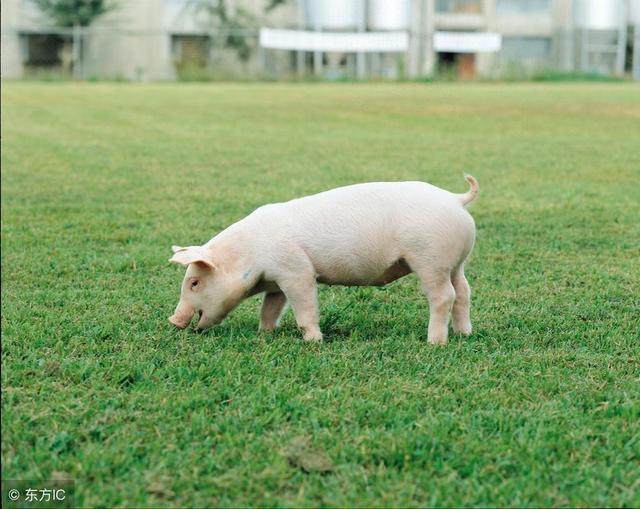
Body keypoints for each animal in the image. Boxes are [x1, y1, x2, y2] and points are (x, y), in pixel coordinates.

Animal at [168, 175, 478, 346]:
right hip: (456, 262)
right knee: (464, 292)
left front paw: (314, 341)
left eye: (194, 282)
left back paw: (435, 342)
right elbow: (270, 308)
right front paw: (265, 333)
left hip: (431, 259)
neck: (251, 255)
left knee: (444, 296)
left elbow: (304, 306)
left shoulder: (296, 270)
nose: (173, 321)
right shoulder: (276, 280)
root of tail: (456, 199)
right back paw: (464, 334)